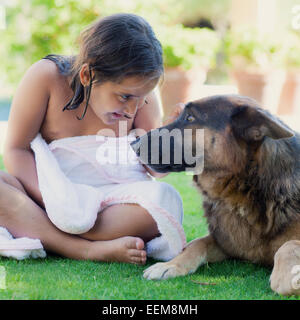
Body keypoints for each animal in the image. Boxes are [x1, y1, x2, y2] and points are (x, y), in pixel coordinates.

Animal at [131, 94, 300, 296]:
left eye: (190, 118)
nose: (132, 144)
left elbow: (288, 245)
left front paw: (289, 278)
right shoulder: (224, 241)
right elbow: (195, 244)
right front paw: (170, 265)